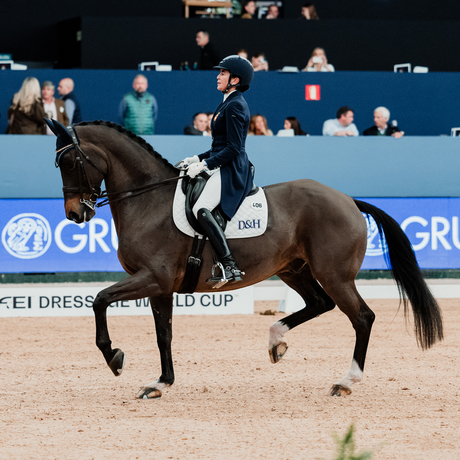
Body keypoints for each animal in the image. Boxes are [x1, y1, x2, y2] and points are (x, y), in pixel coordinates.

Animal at [45, 119, 442, 398]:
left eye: (70, 161)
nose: (75, 214)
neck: (148, 200)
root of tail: (347, 200)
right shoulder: (160, 287)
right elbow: (163, 335)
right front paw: (161, 383)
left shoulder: (152, 277)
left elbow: (100, 300)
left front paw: (114, 357)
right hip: (293, 269)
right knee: (319, 303)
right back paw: (276, 340)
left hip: (334, 274)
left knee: (361, 317)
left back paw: (346, 381)